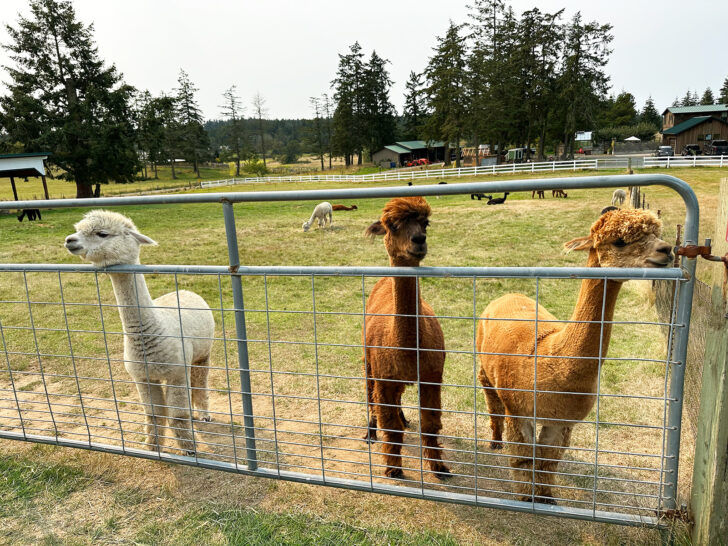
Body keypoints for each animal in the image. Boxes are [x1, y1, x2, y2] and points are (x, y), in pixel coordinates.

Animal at [63, 210, 213, 452]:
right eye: (78, 229)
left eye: (102, 233)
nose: (69, 240)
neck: (150, 333)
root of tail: (185, 290)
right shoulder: (143, 377)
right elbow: (154, 415)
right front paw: (153, 448)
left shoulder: (176, 372)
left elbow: (178, 416)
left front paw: (189, 450)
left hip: (203, 353)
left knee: (200, 380)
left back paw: (204, 414)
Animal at [360, 198, 450, 478]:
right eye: (392, 225)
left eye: (425, 223)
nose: (419, 240)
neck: (409, 347)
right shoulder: (384, 376)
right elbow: (390, 427)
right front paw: (393, 468)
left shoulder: (432, 375)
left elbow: (430, 424)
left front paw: (439, 467)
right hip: (369, 360)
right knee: (370, 394)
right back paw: (370, 432)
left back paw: (403, 417)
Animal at [478, 207, 672, 502]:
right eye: (619, 241)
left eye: (657, 233)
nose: (667, 249)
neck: (552, 358)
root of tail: (507, 294)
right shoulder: (520, 410)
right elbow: (523, 460)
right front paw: (527, 498)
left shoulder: (562, 420)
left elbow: (547, 462)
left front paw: (546, 498)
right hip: (483, 365)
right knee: (492, 401)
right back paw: (495, 441)